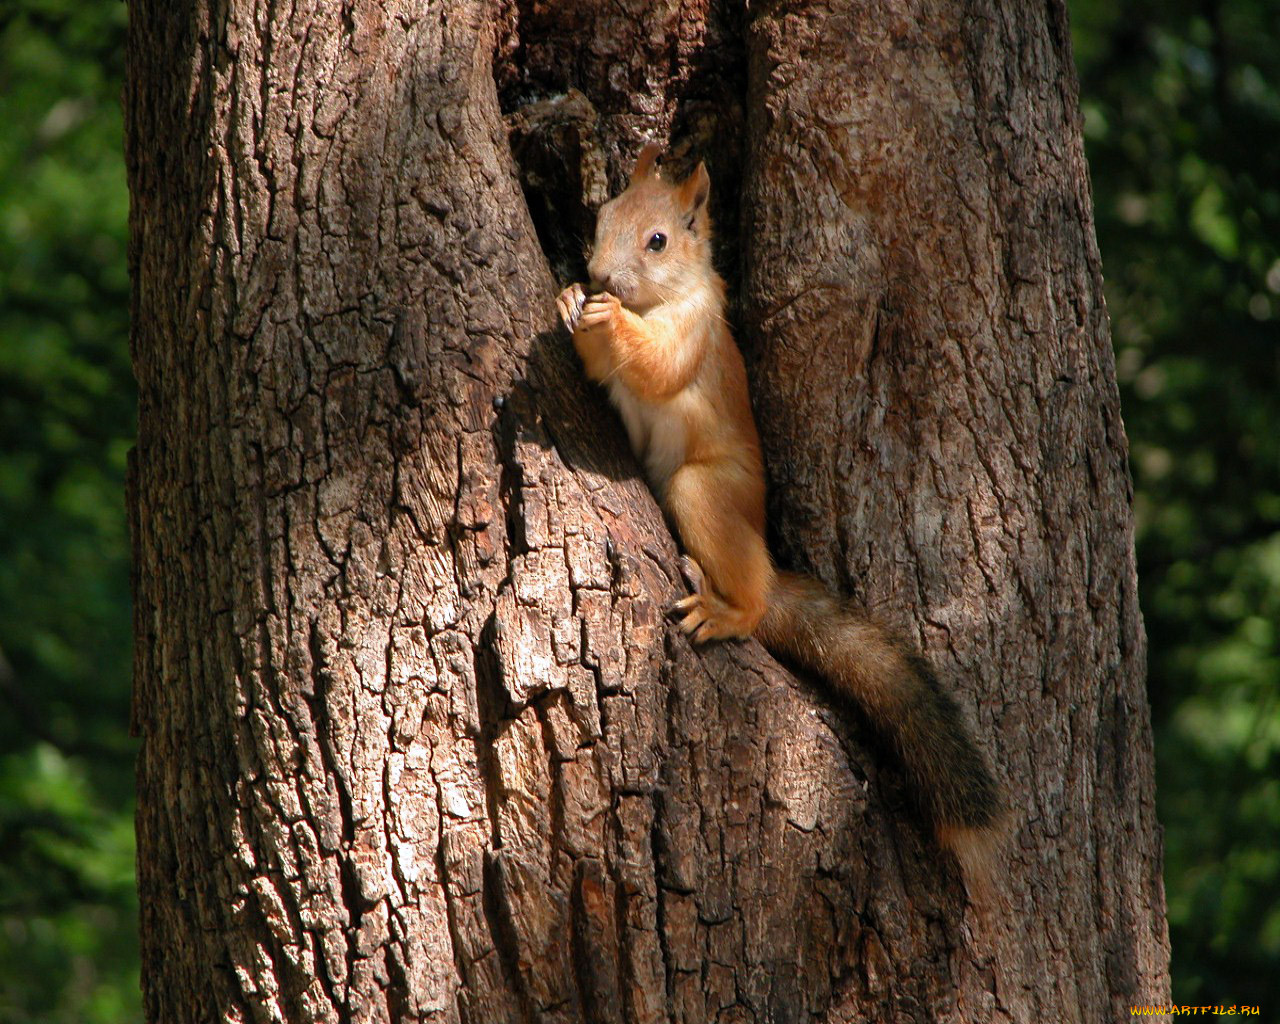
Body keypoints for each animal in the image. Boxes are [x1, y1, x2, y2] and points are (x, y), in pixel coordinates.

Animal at [555, 142, 1003, 885]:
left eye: (658, 239)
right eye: (603, 216)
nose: (599, 276)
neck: (663, 298)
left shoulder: (695, 333)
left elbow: (656, 365)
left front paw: (608, 319)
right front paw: (569, 300)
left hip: (703, 492)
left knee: (755, 594)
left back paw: (728, 609)